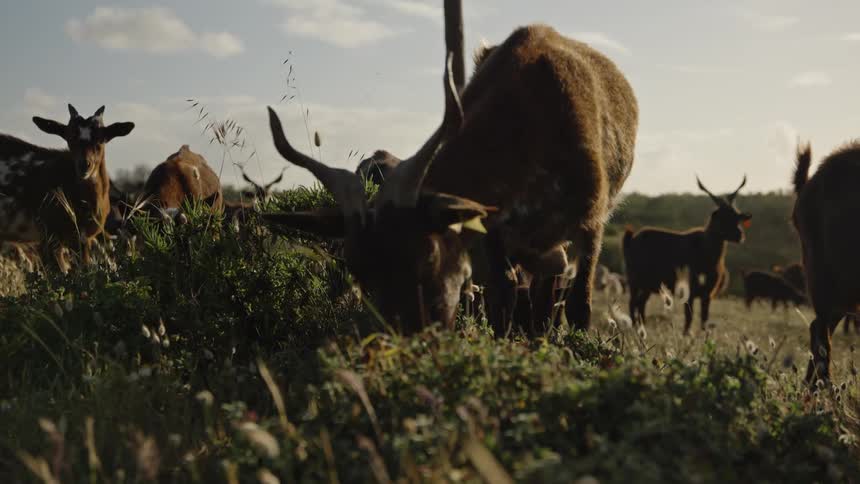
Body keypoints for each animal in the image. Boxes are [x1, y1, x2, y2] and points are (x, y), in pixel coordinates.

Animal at [263, 0, 639, 334]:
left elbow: (579, 307)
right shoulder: (495, 228)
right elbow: (504, 296)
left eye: (427, 255)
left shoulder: (592, 218)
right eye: (358, 267)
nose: (409, 336)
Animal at [623, 177, 751, 333]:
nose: (740, 235)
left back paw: (642, 326)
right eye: (722, 216)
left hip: (648, 284)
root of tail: (631, 239)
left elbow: (704, 316)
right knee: (632, 302)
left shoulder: (708, 292)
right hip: (634, 279)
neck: (709, 257)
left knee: (640, 303)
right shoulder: (690, 289)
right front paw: (686, 333)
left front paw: (703, 334)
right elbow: (689, 316)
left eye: (737, 216)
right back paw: (634, 326)